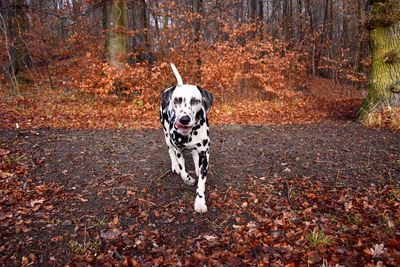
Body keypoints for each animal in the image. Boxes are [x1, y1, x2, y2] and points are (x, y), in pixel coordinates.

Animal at [161, 63, 214, 214]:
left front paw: (200, 202)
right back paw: (175, 166)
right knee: (170, 151)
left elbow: (201, 181)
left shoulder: (205, 154)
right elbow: (183, 171)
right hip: (167, 137)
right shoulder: (178, 150)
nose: (184, 119)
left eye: (195, 101)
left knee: (195, 154)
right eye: (177, 100)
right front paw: (188, 179)